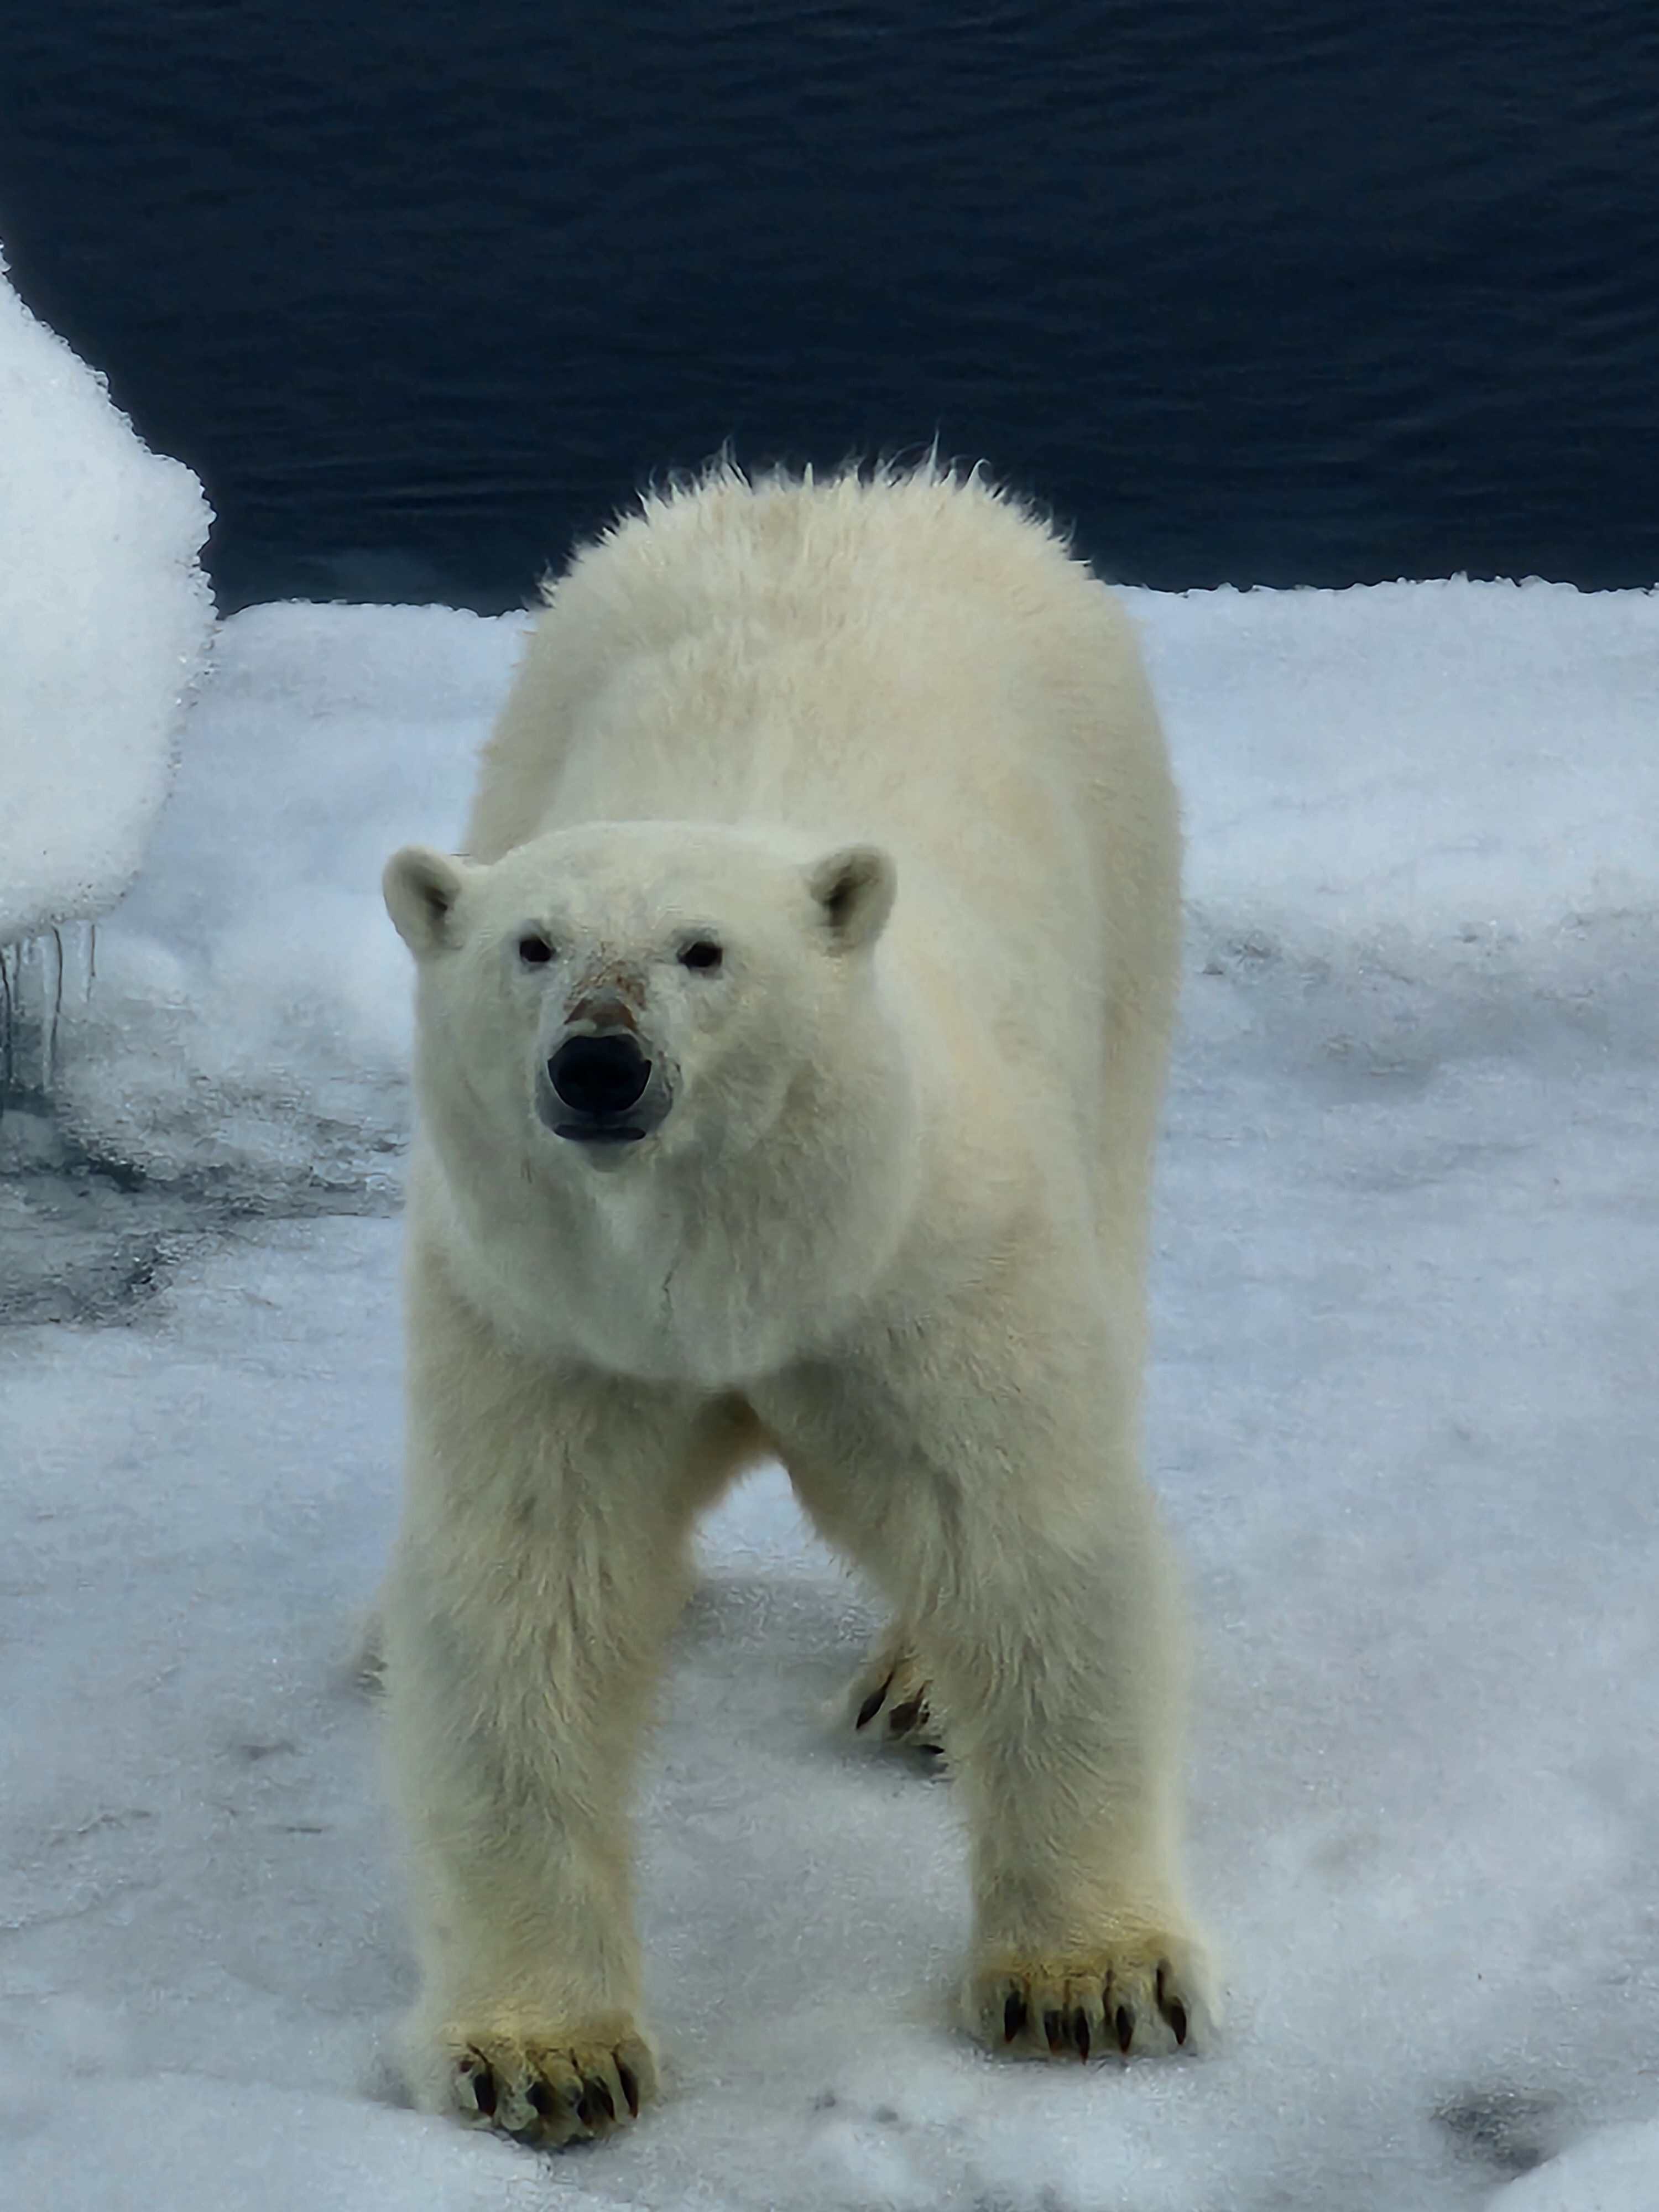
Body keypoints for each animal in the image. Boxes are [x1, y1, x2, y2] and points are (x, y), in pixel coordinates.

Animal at [380, 463, 1208, 2147]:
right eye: (534, 946)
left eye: (705, 953)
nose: (601, 1064)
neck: (740, 1274)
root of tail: (831, 485)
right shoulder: (546, 1320)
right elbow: (529, 1598)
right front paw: (545, 2057)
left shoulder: (927, 1275)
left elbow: (1025, 1546)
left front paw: (1088, 1984)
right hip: (533, 704)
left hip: (1123, 885)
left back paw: (916, 1686)